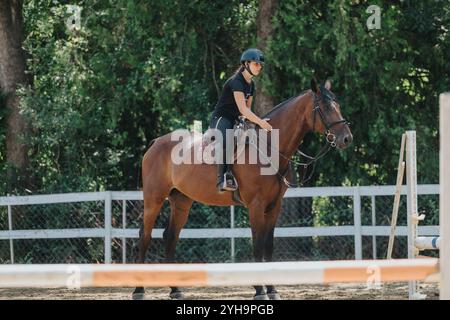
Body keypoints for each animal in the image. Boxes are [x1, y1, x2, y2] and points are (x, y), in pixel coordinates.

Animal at [130, 78, 352, 300]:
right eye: (324, 107)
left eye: (338, 105)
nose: (347, 139)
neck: (269, 148)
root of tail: (156, 143)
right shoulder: (256, 206)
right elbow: (257, 246)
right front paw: (259, 291)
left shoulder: (274, 206)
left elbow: (268, 247)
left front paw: (272, 290)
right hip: (154, 200)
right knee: (145, 236)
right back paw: (139, 290)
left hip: (181, 202)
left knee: (170, 237)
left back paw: (175, 290)